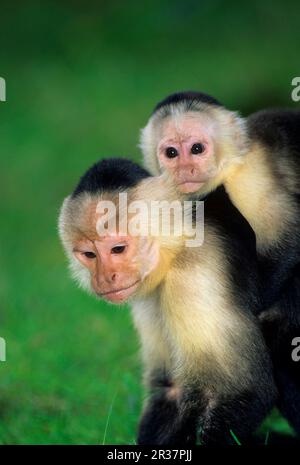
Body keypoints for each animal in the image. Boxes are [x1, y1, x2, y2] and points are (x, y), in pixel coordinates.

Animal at [58, 158, 276, 444]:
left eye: (118, 249)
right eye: (89, 255)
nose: (105, 278)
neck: (178, 245)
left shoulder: (195, 273)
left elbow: (245, 391)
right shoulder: (149, 293)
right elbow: (171, 389)